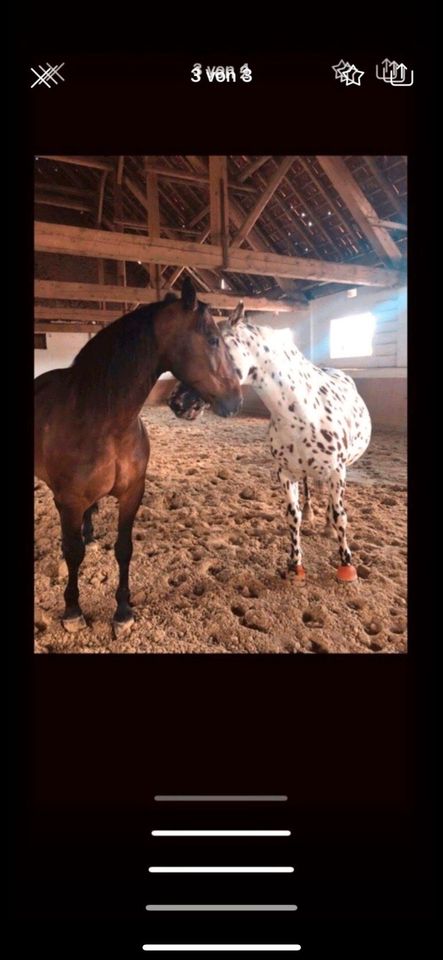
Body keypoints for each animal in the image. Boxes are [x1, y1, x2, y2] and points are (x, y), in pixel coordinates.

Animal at [34, 280, 243, 636]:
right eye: (214, 340)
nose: (236, 399)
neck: (105, 422)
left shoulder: (132, 492)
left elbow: (124, 549)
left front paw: (123, 611)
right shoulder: (70, 500)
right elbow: (72, 553)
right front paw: (73, 610)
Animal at [168, 304, 372, 580]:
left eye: (213, 343)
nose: (176, 402)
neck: (303, 412)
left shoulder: (337, 472)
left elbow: (341, 516)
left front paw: (346, 565)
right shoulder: (285, 473)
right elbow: (293, 516)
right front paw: (295, 565)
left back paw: (329, 527)